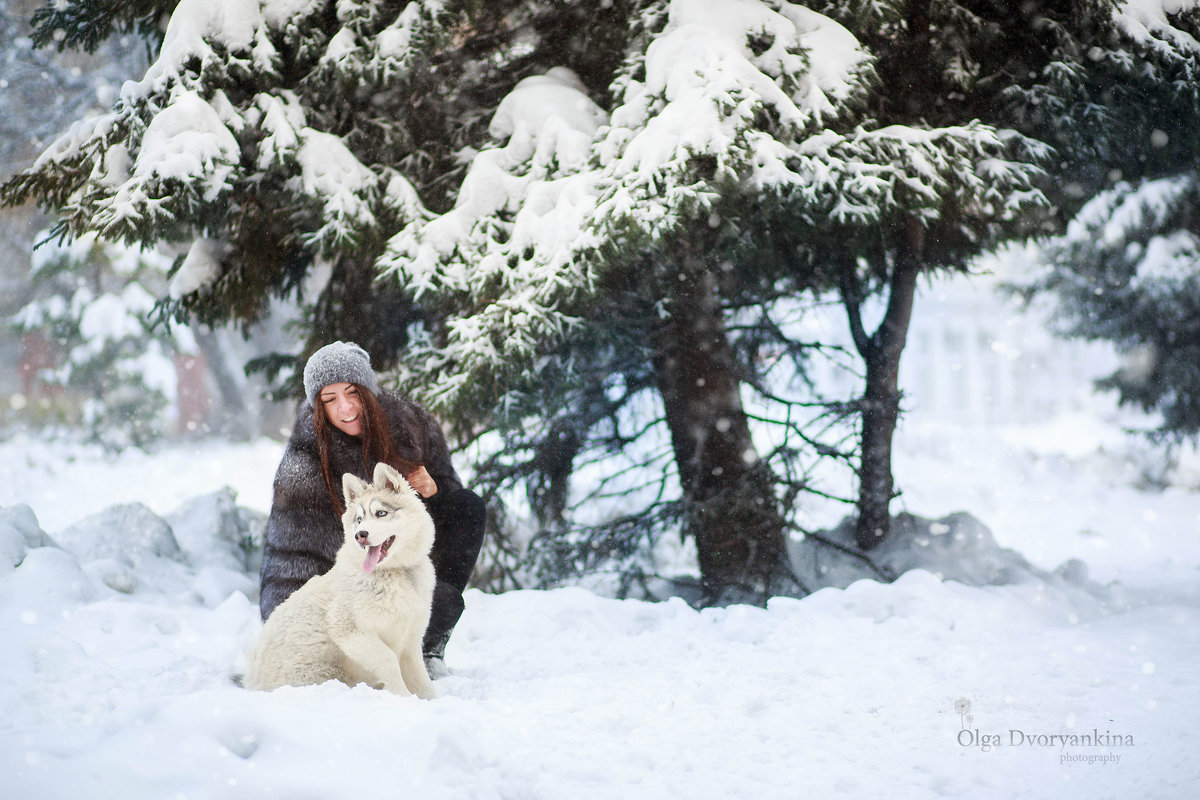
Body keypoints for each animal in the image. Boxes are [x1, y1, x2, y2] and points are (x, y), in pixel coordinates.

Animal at [243, 460, 436, 695]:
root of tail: (253, 681)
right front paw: (403, 697)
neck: (396, 573)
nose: (360, 535)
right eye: (359, 519)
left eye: (381, 513)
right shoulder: (349, 631)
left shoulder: (411, 640)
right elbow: (388, 660)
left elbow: (423, 681)